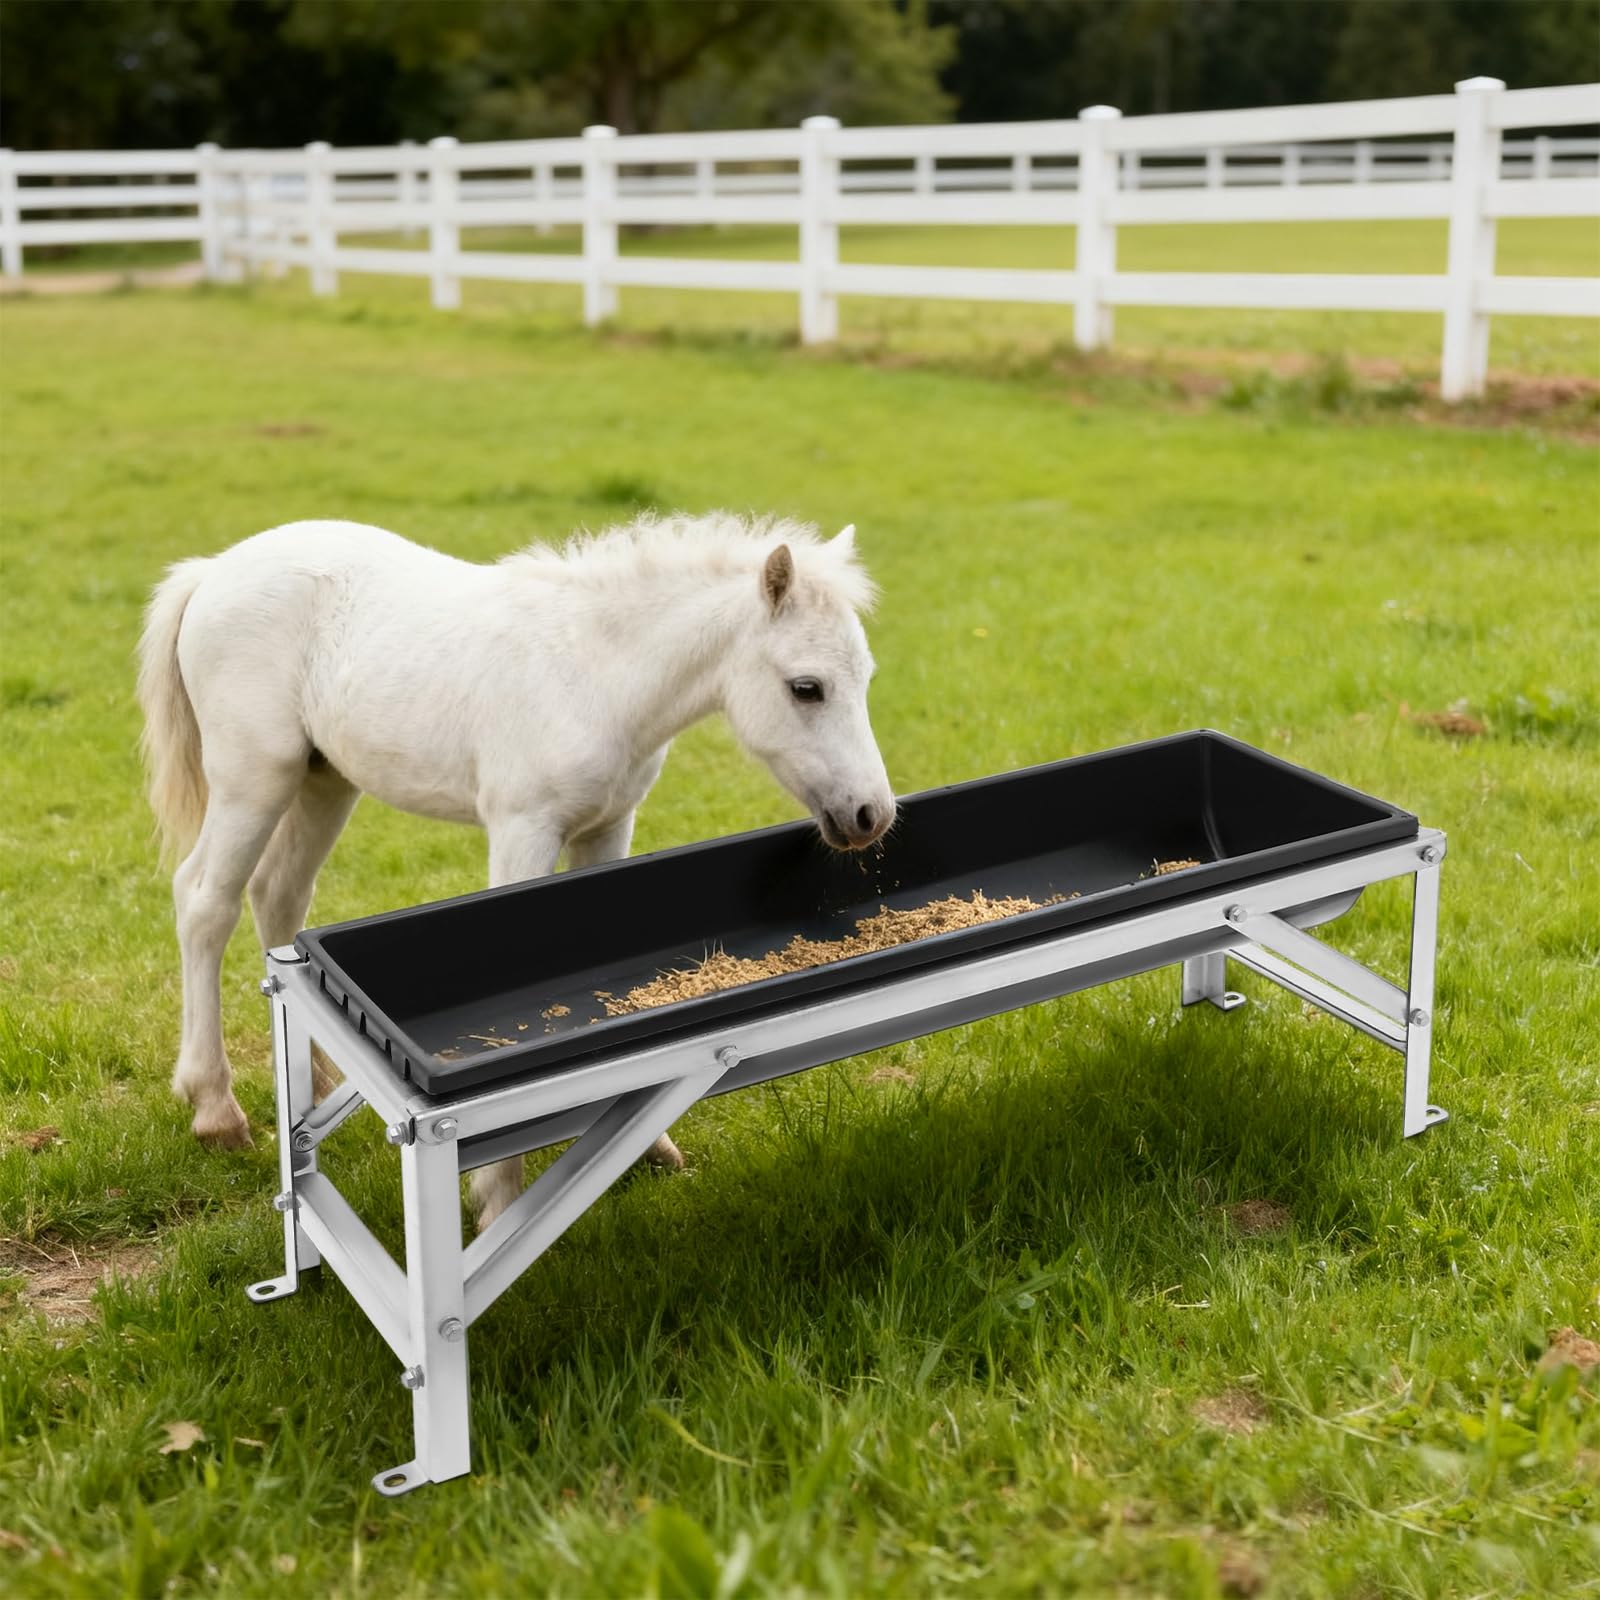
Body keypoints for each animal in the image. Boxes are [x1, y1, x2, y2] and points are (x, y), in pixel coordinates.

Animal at [137, 511, 894, 1227]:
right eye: (806, 687)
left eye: (866, 677)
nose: (871, 815)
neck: (597, 675)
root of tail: (212, 572)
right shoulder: (523, 829)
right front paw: (498, 1195)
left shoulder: (608, 827)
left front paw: (650, 1145)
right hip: (254, 777)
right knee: (205, 899)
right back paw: (214, 1109)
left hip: (326, 780)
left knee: (280, 893)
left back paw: (316, 1080)